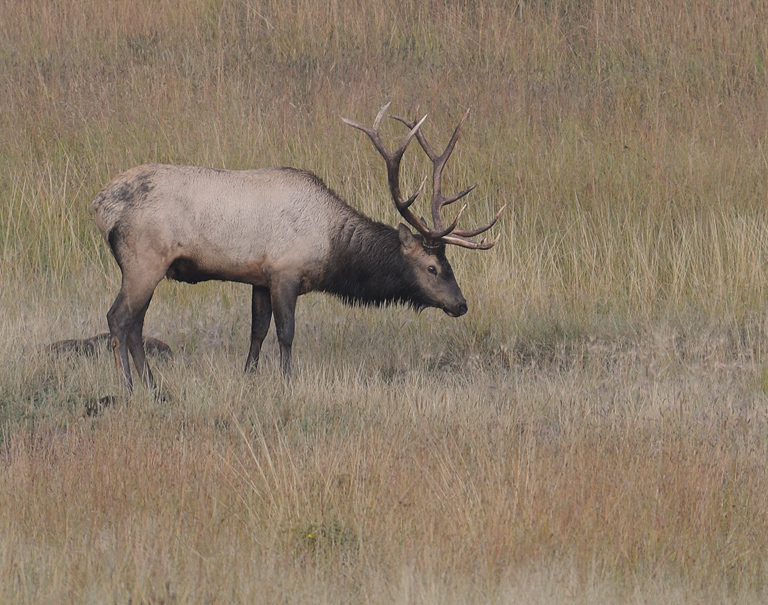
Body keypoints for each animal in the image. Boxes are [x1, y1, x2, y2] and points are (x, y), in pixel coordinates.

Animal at [92, 103, 505, 395]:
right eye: (433, 267)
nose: (461, 304)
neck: (331, 249)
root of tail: (100, 205)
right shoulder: (284, 272)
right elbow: (286, 332)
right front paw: (287, 383)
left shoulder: (258, 278)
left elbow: (257, 332)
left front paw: (250, 378)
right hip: (144, 260)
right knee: (119, 318)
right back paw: (130, 389)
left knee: (136, 324)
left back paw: (154, 386)